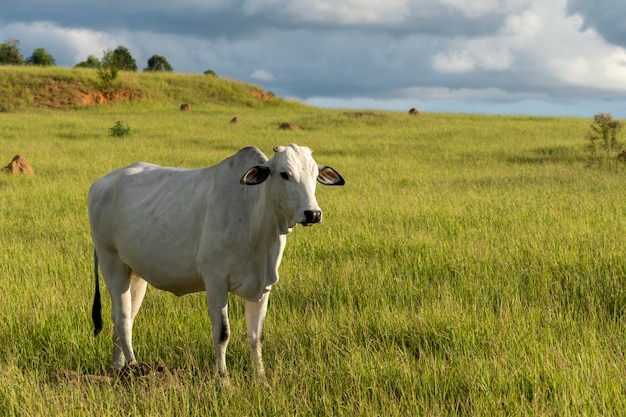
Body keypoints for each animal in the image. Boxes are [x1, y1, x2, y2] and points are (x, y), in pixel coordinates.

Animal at [88, 144, 344, 380]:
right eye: (284, 174)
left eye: (314, 174)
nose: (313, 213)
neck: (254, 218)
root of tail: (100, 184)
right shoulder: (215, 281)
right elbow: (222, 334)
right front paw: (223, 379)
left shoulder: (264, 285)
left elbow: (256, 335)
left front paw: (261, 378)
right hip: (111, 262)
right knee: (122, 318)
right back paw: (136, 369)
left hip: (136, 273)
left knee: (125, 317)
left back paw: (119, 368)